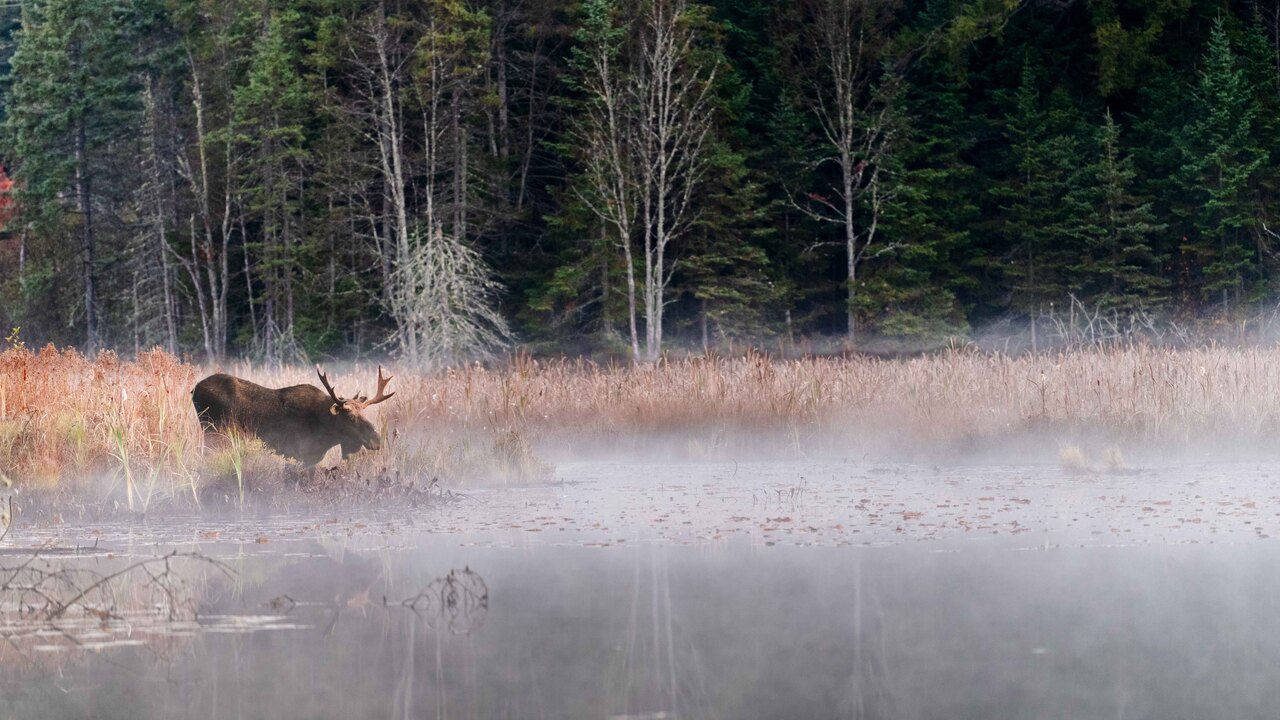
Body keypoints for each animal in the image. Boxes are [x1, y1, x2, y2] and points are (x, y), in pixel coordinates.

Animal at [192, 366, 396, 466]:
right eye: (350, 417)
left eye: (364, 413)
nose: (376, 440)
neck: (327, 431)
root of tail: (194, 390)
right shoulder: (298, 453)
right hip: (215, 433)